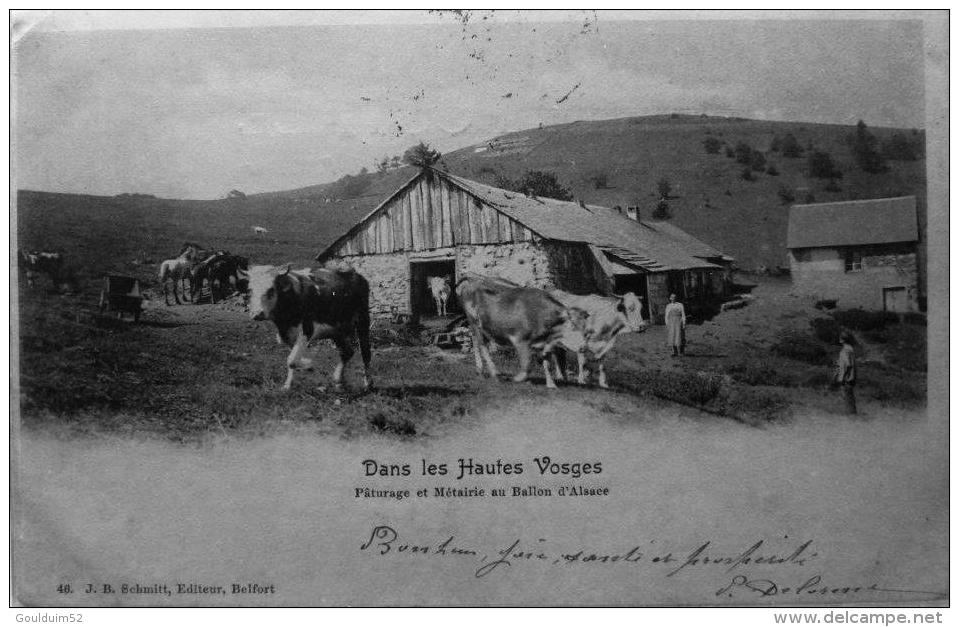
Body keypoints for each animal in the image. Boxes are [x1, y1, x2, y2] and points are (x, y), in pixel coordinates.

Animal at [244, 262, 372, 390]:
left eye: (271, 289)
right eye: (250, 290)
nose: (257, 314)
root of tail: (354, 273)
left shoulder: (307, 329)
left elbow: (292, 360)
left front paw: (308, 364)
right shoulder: (287, 334)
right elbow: (293, 358)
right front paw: (288, 385)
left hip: (363, 320)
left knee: (365, 353)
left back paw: (367, 383)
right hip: (336, 330)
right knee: (347, 352)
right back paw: (339, 379)